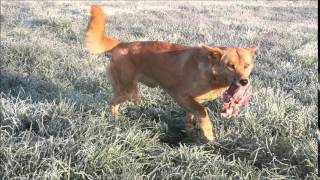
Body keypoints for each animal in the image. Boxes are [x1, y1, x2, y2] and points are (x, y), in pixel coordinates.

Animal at [84, 4, 255, 142]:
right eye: (230, 66)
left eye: (247, 66)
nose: (244, 82)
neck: (210, 72)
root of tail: (121, 44)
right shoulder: (182, 96)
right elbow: (203, 111)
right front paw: (209, 135)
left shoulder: (192, 101)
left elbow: (191, 115)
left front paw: (188, 129)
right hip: (126, 90)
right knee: (111, 103)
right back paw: (117, 120)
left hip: (126, 89)